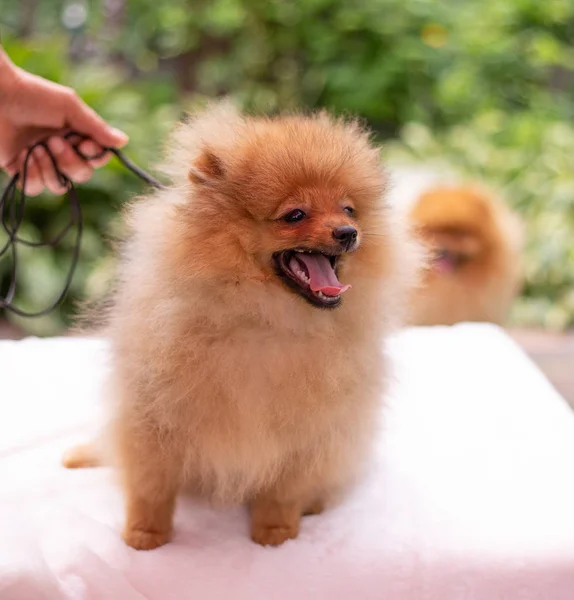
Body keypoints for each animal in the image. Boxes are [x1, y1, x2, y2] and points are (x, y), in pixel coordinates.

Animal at [65, 102, 420, 548]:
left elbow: (285, 490)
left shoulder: (310, 431)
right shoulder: (153, 416)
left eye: (348, 209)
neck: (265, 320)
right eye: (295, 215)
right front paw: (145, 533)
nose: (348, 232)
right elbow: (150, 484)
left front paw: (275, 531)